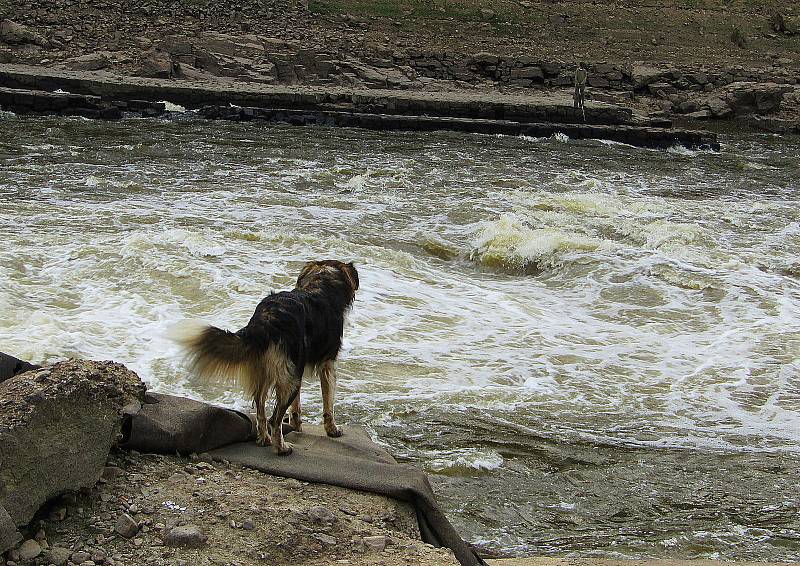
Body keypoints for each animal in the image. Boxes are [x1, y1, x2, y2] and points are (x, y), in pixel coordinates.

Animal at [171, 262, 360, 458]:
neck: (320, 282)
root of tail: (265, 320)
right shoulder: (327, 364)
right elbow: (328, 403)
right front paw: (332, 430)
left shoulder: (296, 367)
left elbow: (296, 407)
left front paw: (297, 426)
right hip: (289, 379)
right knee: (274, 419)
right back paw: (281, 448)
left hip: (268, 372)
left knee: (260, 409)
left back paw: (264, 439)